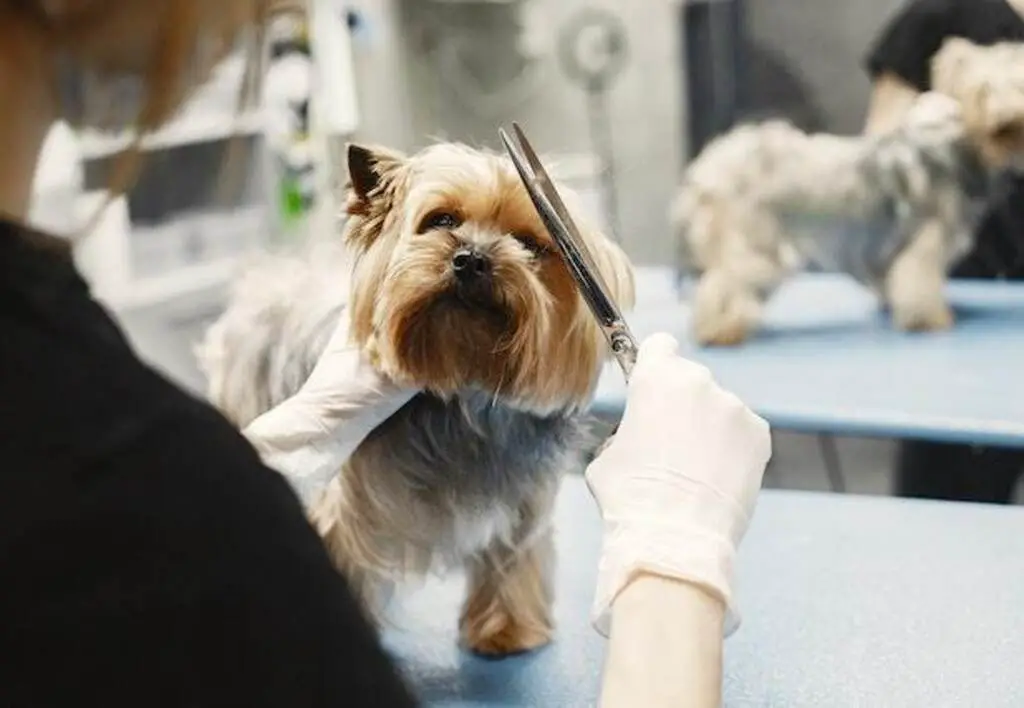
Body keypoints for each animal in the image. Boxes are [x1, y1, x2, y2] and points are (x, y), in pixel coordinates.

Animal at [196, 141, 634, 655]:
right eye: (441, 220)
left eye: (529, 244)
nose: (471, 258)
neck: (461, 393)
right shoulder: (344, 507)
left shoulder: (521, 496)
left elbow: (510, 555)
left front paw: (506, 630)